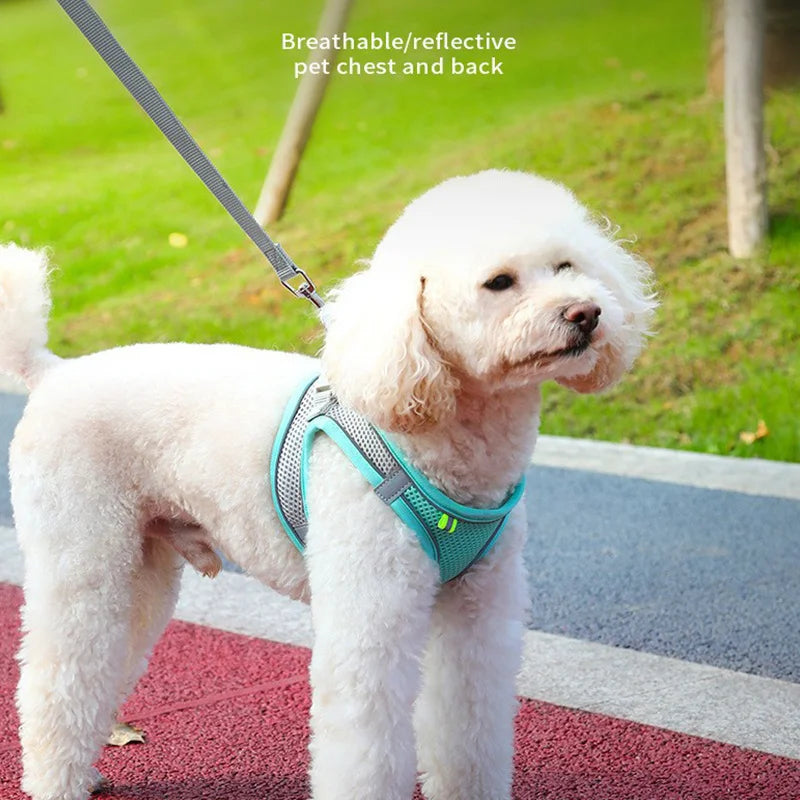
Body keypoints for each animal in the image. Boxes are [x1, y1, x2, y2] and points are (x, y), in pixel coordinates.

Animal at [0, 169, 652, 800]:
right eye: (499, 282)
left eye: (567, 266)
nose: (586, 313)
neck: (437, 435)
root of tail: (52, 372)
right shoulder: (372, 608)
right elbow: (366, 741)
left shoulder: (478, 611)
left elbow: (469, 720)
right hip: (82, 551)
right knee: (56, 675)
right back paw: (56, 783)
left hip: (142, 567)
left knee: (107, 662)